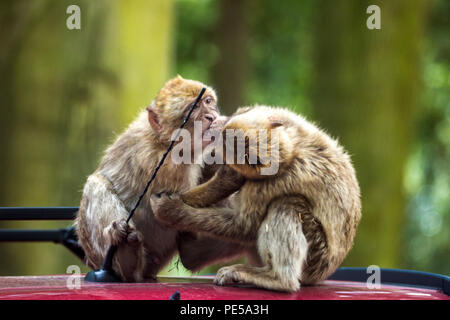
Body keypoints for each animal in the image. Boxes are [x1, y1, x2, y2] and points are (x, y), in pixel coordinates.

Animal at [76, 76, 246, 282]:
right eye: (193, 108)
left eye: (208, 101)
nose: (211, 117)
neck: (163, 140)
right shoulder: (166, 164)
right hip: (100, 254)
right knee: (95, 184)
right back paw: (125, 259)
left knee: (190, 254)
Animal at [151, 106, 362, 292]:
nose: (215, 124)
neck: (291, 147)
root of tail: (325, 273)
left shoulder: (266, 184)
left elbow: (243, 225)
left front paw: (170, 209)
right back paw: (191, 253)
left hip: (315, 260)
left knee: (287, 205)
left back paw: (279, 280)